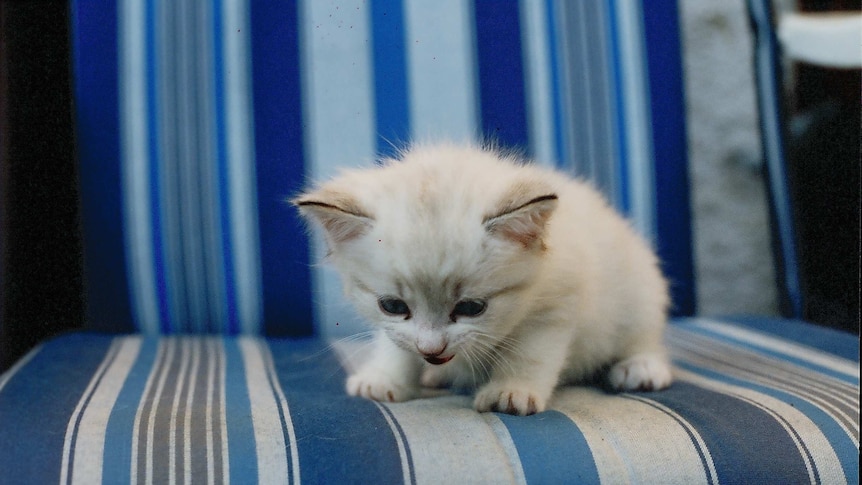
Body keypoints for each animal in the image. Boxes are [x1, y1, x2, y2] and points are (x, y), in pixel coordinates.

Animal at [296, 142, 676, 414]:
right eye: (393, 306)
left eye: (471, 308)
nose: (431, 351)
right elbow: (395, 343)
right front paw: (383, 377)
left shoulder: (557, 303)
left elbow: (529, 353)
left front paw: (511, 391)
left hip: (640, 287)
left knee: (642, 333)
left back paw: (641, 368)